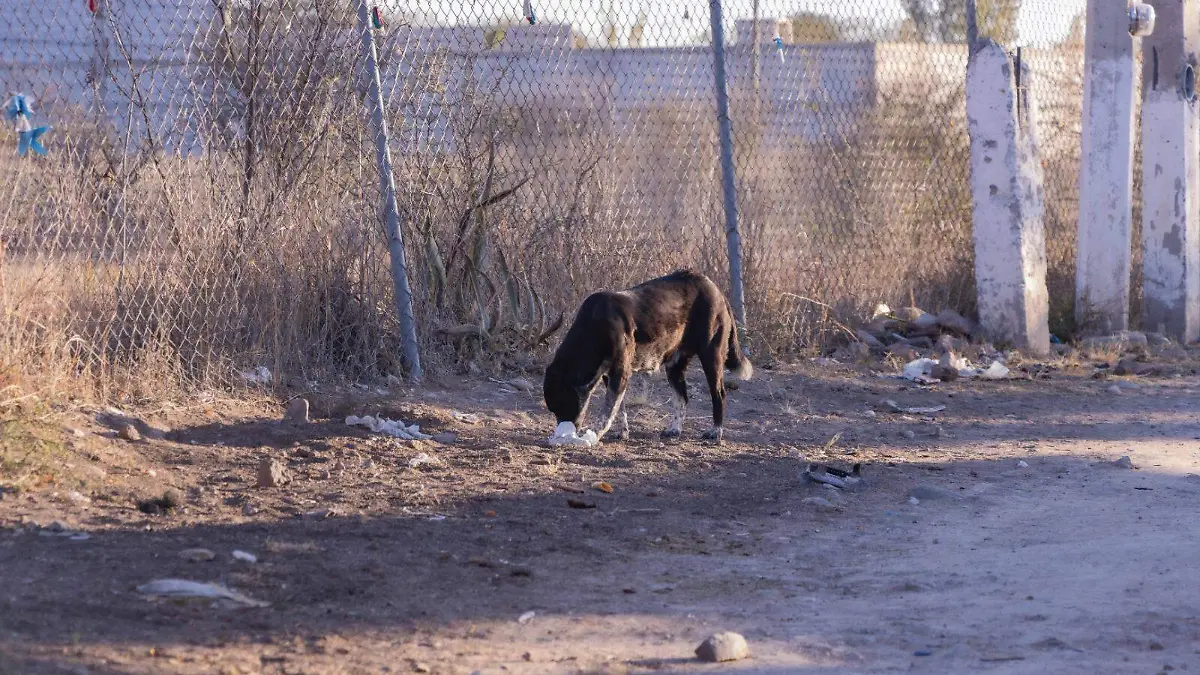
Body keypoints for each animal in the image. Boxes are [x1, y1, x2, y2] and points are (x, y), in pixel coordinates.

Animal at [544, 267, 748, 441]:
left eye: (564, 404)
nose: (566, 431)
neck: (595, 326)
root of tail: (716, 290)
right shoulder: (610, 376)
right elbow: (619, 409)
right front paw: (622, 432)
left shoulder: (620, 373)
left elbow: (608, 412)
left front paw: (594, 435)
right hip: (674, 366)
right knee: (682, 398)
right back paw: (675, 429)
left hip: (711, 357)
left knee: (719, 394)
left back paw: (716, 431)